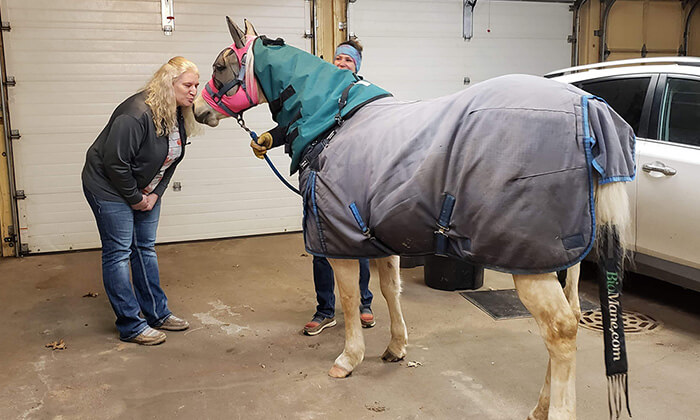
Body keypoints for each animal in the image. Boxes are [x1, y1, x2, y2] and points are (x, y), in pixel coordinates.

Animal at [191, 17, 636, 420]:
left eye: (220, 66)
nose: (196, 109)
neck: (334, 122)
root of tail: (588, 109)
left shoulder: (339, 245)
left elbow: (350, 300)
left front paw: (349, 359)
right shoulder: (381, 237)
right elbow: (391, 290)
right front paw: (395, 347)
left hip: (529, 263)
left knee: (560, 331)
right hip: (560, 258)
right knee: (569, 320)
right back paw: (539, 407)